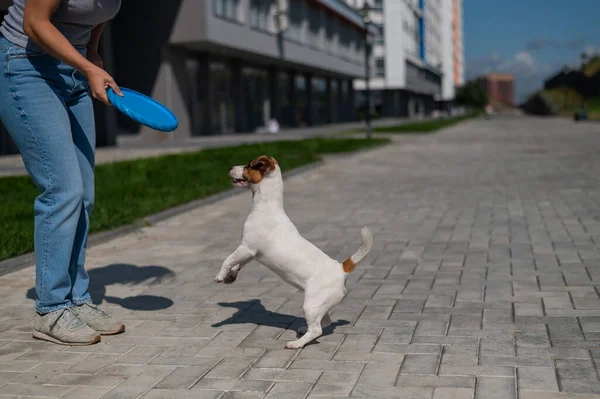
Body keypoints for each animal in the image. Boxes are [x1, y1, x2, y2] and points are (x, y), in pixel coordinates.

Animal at [216, 155, 372, 348]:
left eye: (249, 165)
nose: (229, 167)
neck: (267, 205)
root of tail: (341, 268)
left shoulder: (246, 247)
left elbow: (228, 259)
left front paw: (220, 276)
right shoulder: (252, 253)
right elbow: (238, 264)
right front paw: (230, 276)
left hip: (311, 304)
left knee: (317, 329)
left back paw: (296, 343)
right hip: (320, 305)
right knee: (324, 322)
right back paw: (303, 331)